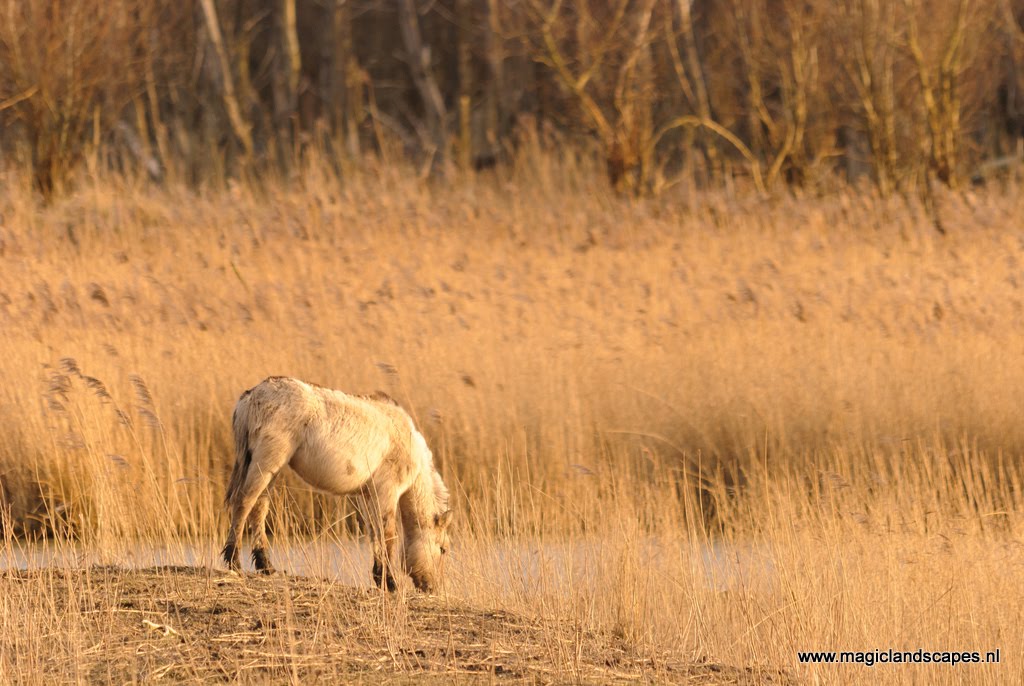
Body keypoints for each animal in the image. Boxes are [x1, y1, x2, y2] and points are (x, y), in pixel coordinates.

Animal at [222, 378, 450, 593]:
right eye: (443, 549)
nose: (433, 588)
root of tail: (250, 396)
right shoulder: (387, 493)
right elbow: (388, 536)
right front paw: (390, 582)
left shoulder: (368, 496)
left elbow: (374, 534)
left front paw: (380, 578)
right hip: (267, 462)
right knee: (244, 502)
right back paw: (234, 560)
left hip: (270, 470)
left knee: (259, 507)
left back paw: (266, 565)